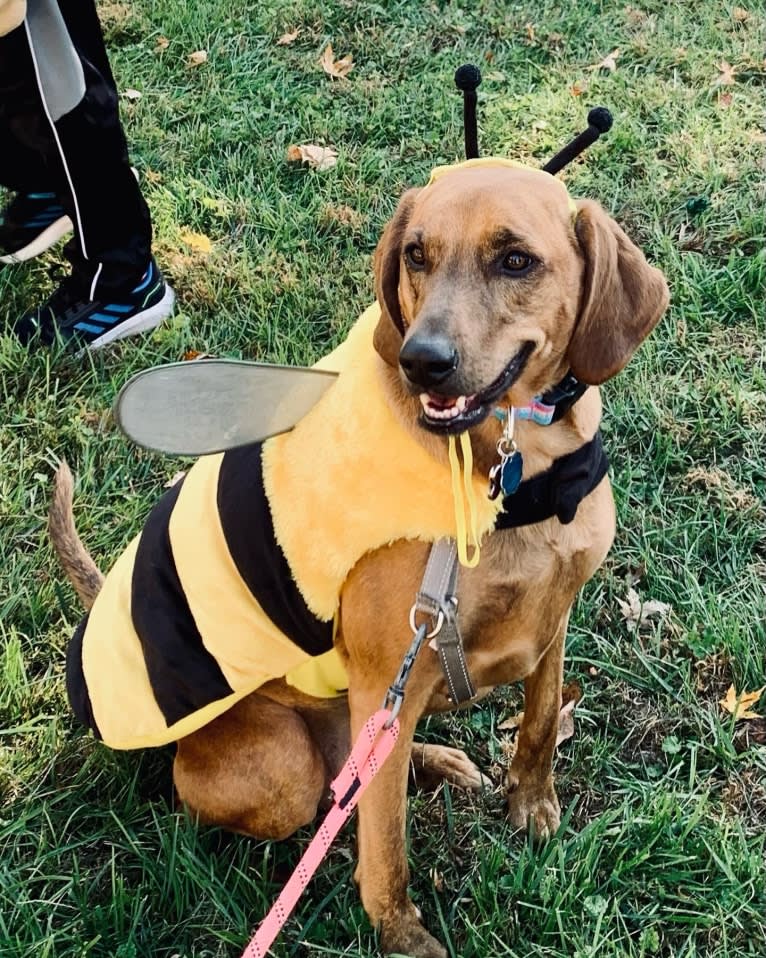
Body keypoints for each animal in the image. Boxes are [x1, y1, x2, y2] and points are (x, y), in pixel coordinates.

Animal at [51, 161, 668, 958]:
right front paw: (400, 931)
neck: (515, 472)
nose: (421, 362)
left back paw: (437, 761)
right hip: (287, 761)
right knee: (325, 785)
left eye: (515, 260)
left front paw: (531, 801)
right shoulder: (385, 668)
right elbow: (384, 845)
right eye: (415, 254)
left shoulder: (553, 618)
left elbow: (537, 724)